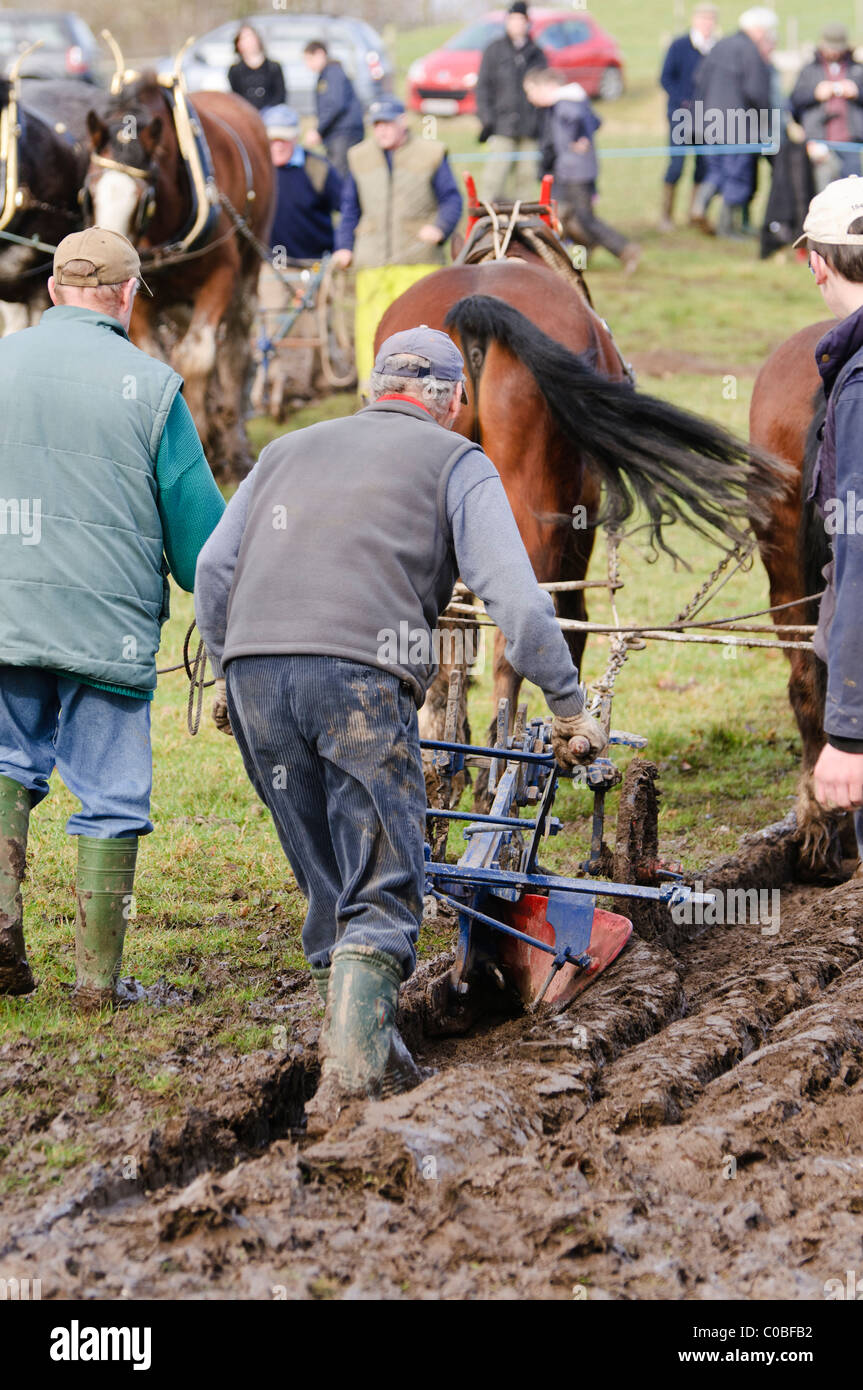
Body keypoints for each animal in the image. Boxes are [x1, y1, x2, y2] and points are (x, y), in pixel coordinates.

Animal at [84, 66, 274, 482]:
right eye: (88, 193)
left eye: (144, 199)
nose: (107, 263)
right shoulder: (139, 296)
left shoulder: (221, 277)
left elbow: (198, 356)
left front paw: (201, 438)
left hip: (250, 266)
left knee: (235, 347)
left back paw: (233, 441)